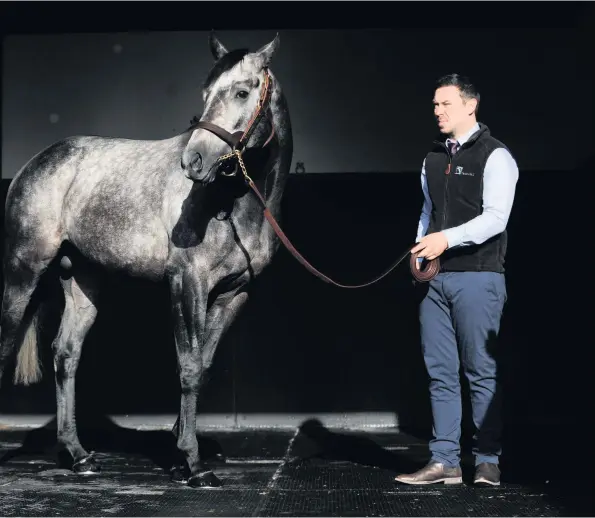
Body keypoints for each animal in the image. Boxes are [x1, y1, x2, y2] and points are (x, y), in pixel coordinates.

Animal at [0, 31, 294, 488]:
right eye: (206, 93)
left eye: (242, 92)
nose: (193, 162)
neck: (231, 204)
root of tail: (37, 162)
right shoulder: (187, 284)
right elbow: (188, 366)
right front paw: (193, 463)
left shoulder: (234, 294)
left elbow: (203, 366)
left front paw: (178, 454)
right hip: (22, 272)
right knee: (6, 343)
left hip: (83, 283)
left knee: (66, 354)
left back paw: (78, 455)